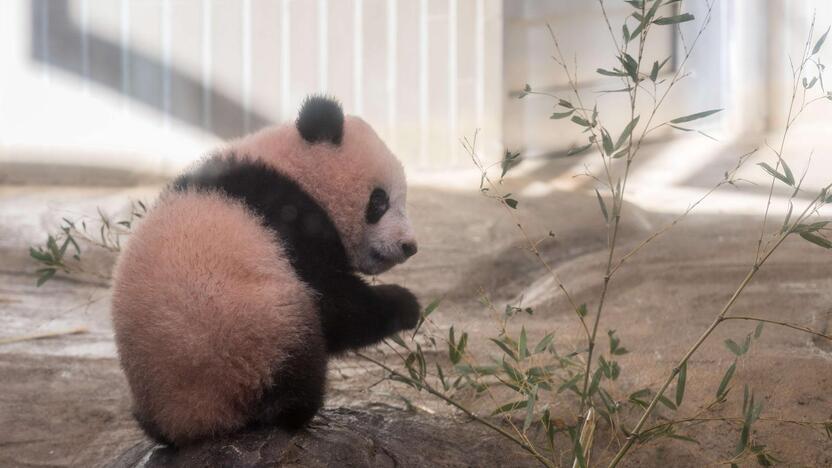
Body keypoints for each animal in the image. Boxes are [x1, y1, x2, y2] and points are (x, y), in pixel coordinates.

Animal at [109, 95, 420, 446]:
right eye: (379, 201)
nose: (409, 245)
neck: (293, 166)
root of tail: (192, 420)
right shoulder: (289, 219)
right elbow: (335, 303)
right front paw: (406, 305)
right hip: (257, 335)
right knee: (295, 361)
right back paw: (295, 412)